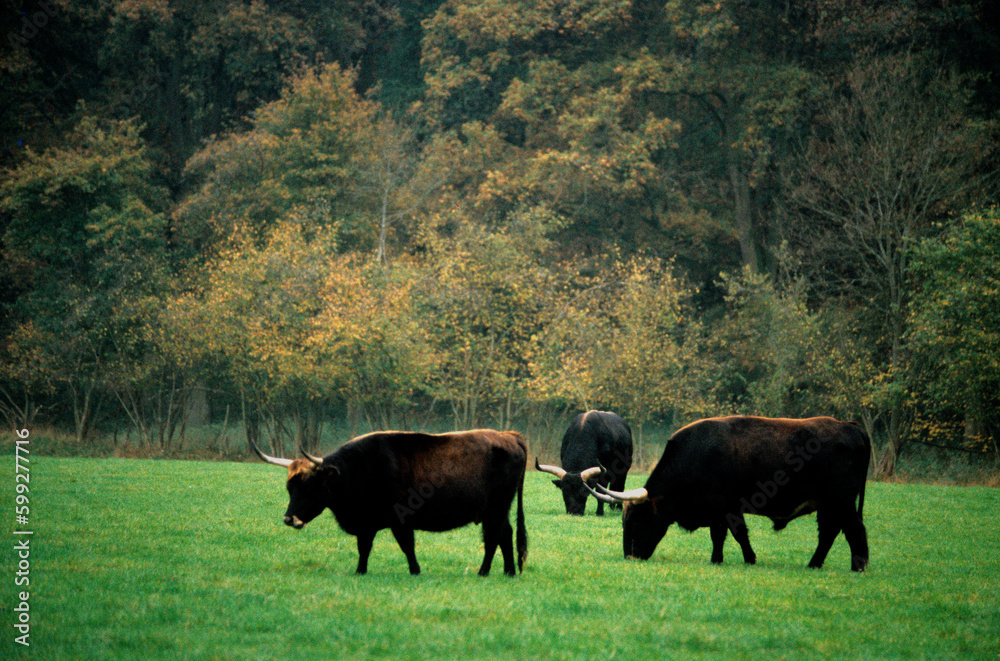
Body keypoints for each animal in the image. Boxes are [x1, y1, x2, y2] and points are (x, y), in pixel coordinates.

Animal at [252, 430, 532, 576]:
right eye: (289, 488)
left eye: (309, 486)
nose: (289, 519)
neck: (360, 468)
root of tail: (508, 435)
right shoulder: (366, 523)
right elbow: (363, 548)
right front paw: (360, 571)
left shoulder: (400, 520)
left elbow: (407, 546)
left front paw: (415, 571)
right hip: (498, 510)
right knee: (505, 534)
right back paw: (508, 572)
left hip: (495, 509)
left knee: (494, 537)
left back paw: (483, 572)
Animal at [584, 416, 872, 568]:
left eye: (636, 520)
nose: (630, 557)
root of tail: (851, 426)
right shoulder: (717, 511)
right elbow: (719, 535)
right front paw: (717, 559)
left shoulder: (728, 507)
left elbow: (736, 533)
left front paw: (748, 559)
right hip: (829, 505)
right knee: (830, 533)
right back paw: (815, 564)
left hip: (842, 502)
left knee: (854, 530)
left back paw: (858, 566)